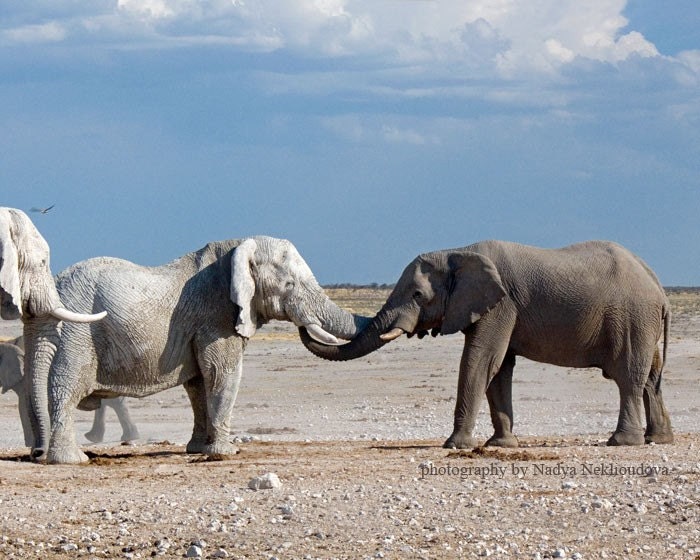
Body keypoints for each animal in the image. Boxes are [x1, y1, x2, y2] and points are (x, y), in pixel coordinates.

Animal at [32, 235, 369, 464]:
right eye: (289, 285)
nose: (303, 324)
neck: (237, 248)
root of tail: (55, 285)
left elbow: (198, 385)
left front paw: (197, 449)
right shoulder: (215, 318)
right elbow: (221, 374)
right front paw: (226, 452)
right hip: (76, 334)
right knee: (66, 387)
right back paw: (71, 460)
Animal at [300, 240, 673, 449]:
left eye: (418, 295)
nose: (303, 324)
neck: (457, 251)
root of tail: (659, 287)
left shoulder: (502, 304)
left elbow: (481, 360)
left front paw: (454, 446)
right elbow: (499, 368)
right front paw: (502, 445)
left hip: (633, 317)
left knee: (629, 376)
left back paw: (622, 442)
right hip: (643, 321)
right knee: (651, 378)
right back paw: (658, 439)